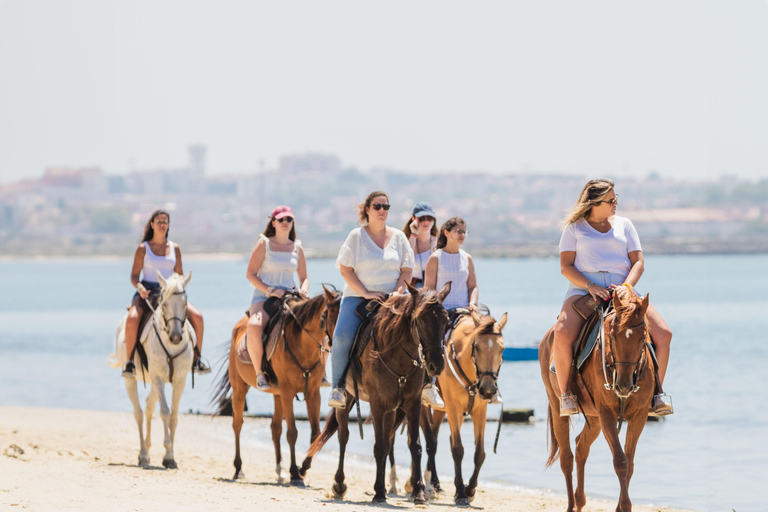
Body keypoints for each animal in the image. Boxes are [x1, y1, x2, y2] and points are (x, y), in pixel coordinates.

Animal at [108, 272, 195, 468]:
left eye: (185, 303)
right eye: (165, 304)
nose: (176, 337)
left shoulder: (179, 381)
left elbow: (174, 416)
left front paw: (170, 456)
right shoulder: (158, 379)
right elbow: (164, 412)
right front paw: (168, 455)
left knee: (148, 407)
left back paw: (147, 452)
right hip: (133, 380)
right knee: (139, 413)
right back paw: (142, 455)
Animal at [212, 288, 340, 484]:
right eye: (331, 316)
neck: (303, 345)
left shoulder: (313, 393)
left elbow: (316, 433)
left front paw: (303, 468)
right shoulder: (287, 392)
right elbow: (292, 432)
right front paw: (295, 472)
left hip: (277, 394)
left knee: (275, 428)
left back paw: (280, 470)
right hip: (240, 389)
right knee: (237, 424)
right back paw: (238, 468)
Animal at [304, 284, 450, 504]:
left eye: (445, 320)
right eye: (419, 320)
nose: (436, 365)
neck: (397, 355)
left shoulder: (412, 403)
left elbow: (414, 446)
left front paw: (419, 491)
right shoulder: (377, 404)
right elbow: (379, 446)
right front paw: (379, 492)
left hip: (391, 409)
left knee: (388, 439)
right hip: (349, 399)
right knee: (344, 436)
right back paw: (339, 484)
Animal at [540, 288, 656, 512]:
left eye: (643, 337)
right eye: (613, 336)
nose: (623, 385)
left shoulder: (639, 416)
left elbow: (629, 462)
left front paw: (621, 506)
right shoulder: (607, 414)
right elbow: (620, 461)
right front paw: (624, 506)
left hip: (593, 419)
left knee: (580, 447)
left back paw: (580, 501)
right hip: (559, 408)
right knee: (566, 458)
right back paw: (571, 505)